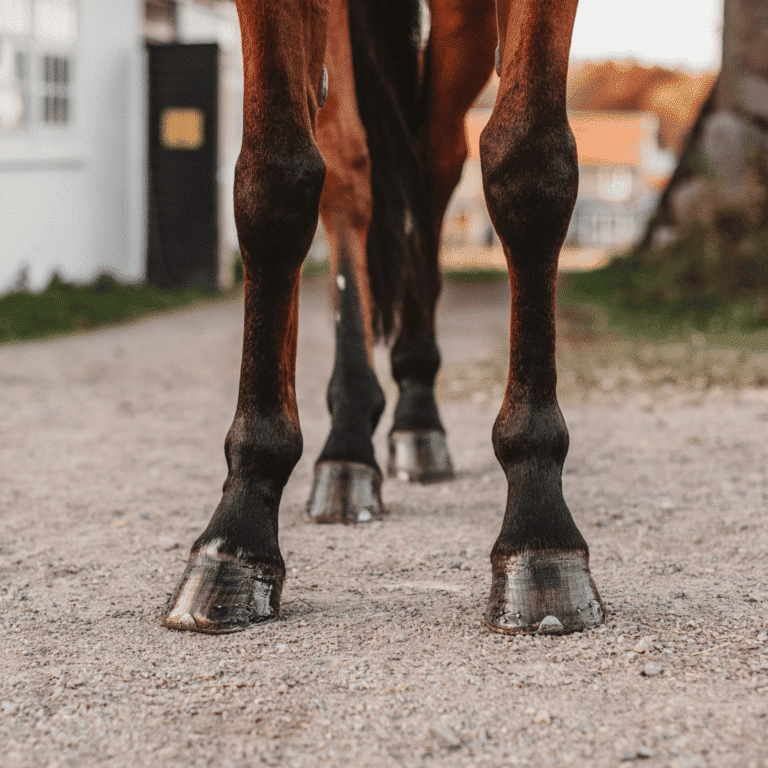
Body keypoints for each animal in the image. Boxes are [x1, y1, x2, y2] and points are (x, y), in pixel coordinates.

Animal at [162, 0, 608, 636]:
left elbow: (530, 163)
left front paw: (539, 529)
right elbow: (273, 179)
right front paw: (238, 531)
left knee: (433, 161)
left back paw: (416, 413)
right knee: (350, 173)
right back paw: (348, 443)